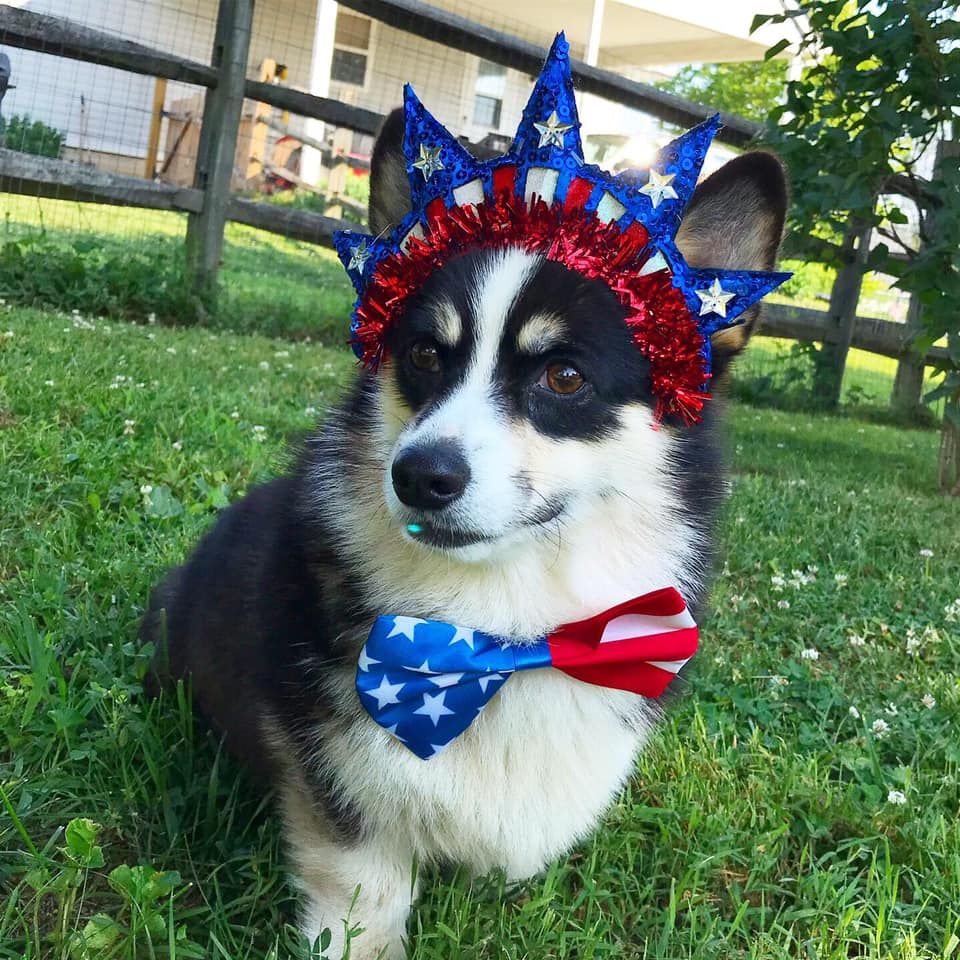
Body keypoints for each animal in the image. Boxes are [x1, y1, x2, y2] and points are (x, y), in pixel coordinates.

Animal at [142, 77, 788, 960]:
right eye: (423, 354)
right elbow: (362, 882)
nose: (419, 476)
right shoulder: (333, 777)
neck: (502, 627)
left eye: (563, 375)